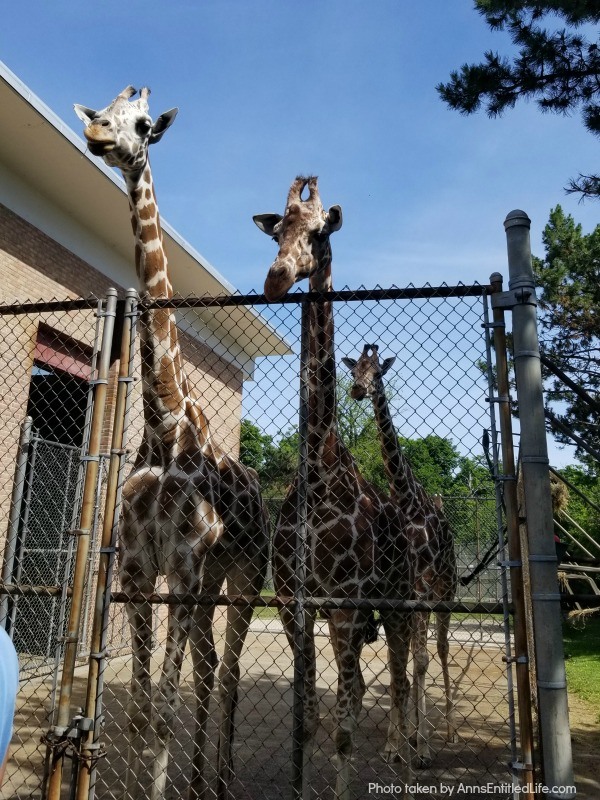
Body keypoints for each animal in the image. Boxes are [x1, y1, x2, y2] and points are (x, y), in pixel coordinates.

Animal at [75, 87, 268, 800]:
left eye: (140, 124)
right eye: (100, 110)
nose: (99, 137)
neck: (164, 423)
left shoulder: (181, 572)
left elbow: (161, 710)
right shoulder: (137, 572)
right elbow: (139, 711)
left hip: (241, 579)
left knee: (231, 668)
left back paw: (222, 780)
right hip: (209, 585)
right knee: (212, 665)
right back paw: (199, 783)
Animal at [254, 177, 418, 800]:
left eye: (321, 230)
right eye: (278, 230)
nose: (278, 277)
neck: (319, 467)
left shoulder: (347, 603)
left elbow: (345, 726)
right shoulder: (294, 603)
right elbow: (307, 718)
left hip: (397, 604)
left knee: (396, 674)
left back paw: (405, 753)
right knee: (359, 686)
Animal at [342, 342, 460, 764]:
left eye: (378, 372)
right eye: (353, 370)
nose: (359, 390)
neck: (408, 501)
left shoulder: (421, 585)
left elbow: (420, 660)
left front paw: (421, 747)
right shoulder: (401, 589)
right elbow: (401, 663)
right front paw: (396, 742)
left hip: (446, 589)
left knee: (439, 650)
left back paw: (444, 732)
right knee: (412, 656)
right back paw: (408, 732)